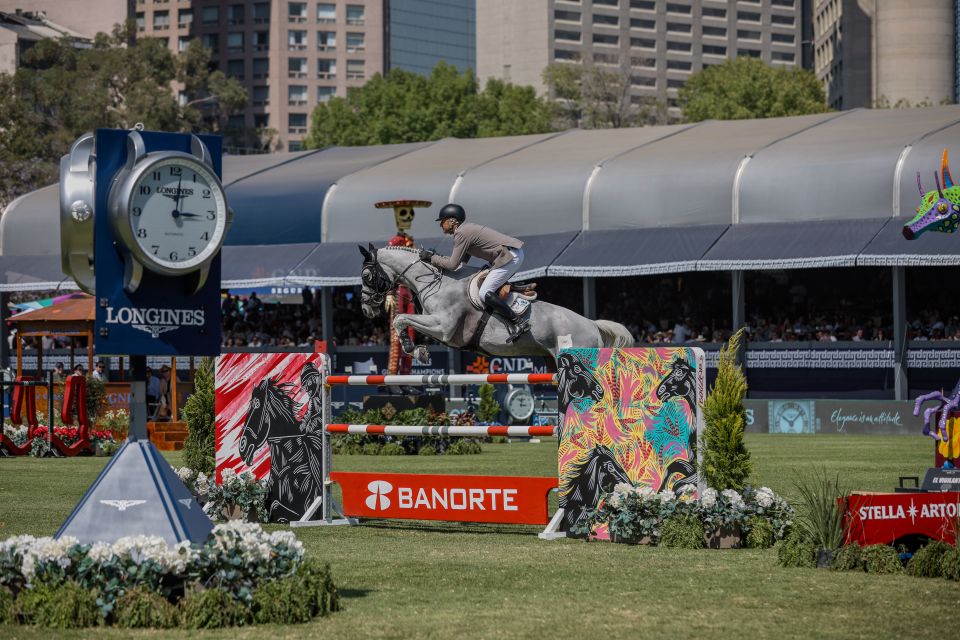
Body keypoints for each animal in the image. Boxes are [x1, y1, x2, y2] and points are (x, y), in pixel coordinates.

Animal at [356, 244, 632, 368]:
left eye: (367, 276)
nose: (366, 309)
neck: (436, 281)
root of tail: (592, 325)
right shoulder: (440, 329)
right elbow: (403, 320)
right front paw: (418, 350)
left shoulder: (443, 327)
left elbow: (400, 318)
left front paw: (414, 350)